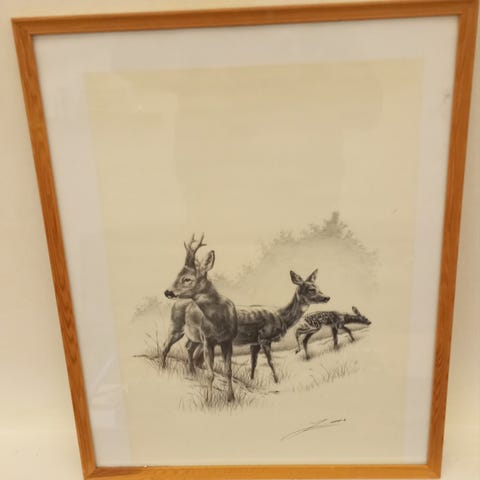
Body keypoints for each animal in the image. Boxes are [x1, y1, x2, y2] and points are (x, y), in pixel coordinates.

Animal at [163, 234, 237, 402]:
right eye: (177, 275)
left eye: (187, 279)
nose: (168, 292)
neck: (219, 320)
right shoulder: (208, 340)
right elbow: (210, 374)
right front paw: (208, 400)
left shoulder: (227, 340)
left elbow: (228, 371)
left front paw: (231, 398)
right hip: (176, 326)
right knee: (165, 346)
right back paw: (162, 368)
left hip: (195, 337)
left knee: (188, 347)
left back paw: (192, 372)